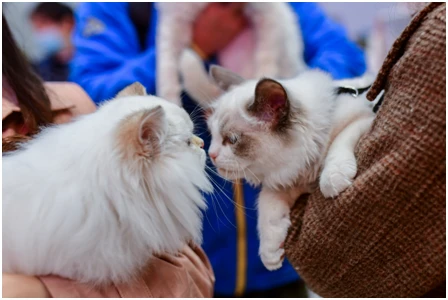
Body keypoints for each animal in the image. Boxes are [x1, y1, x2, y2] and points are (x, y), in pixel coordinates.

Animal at [203, 67, 374, 270]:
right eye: (212, 135)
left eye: (232, 139)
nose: (211, 154)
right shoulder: (288, 181)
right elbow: (266, 205)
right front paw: (270, 254)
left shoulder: (366, 119)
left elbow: (340, 140)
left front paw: (332, 180)